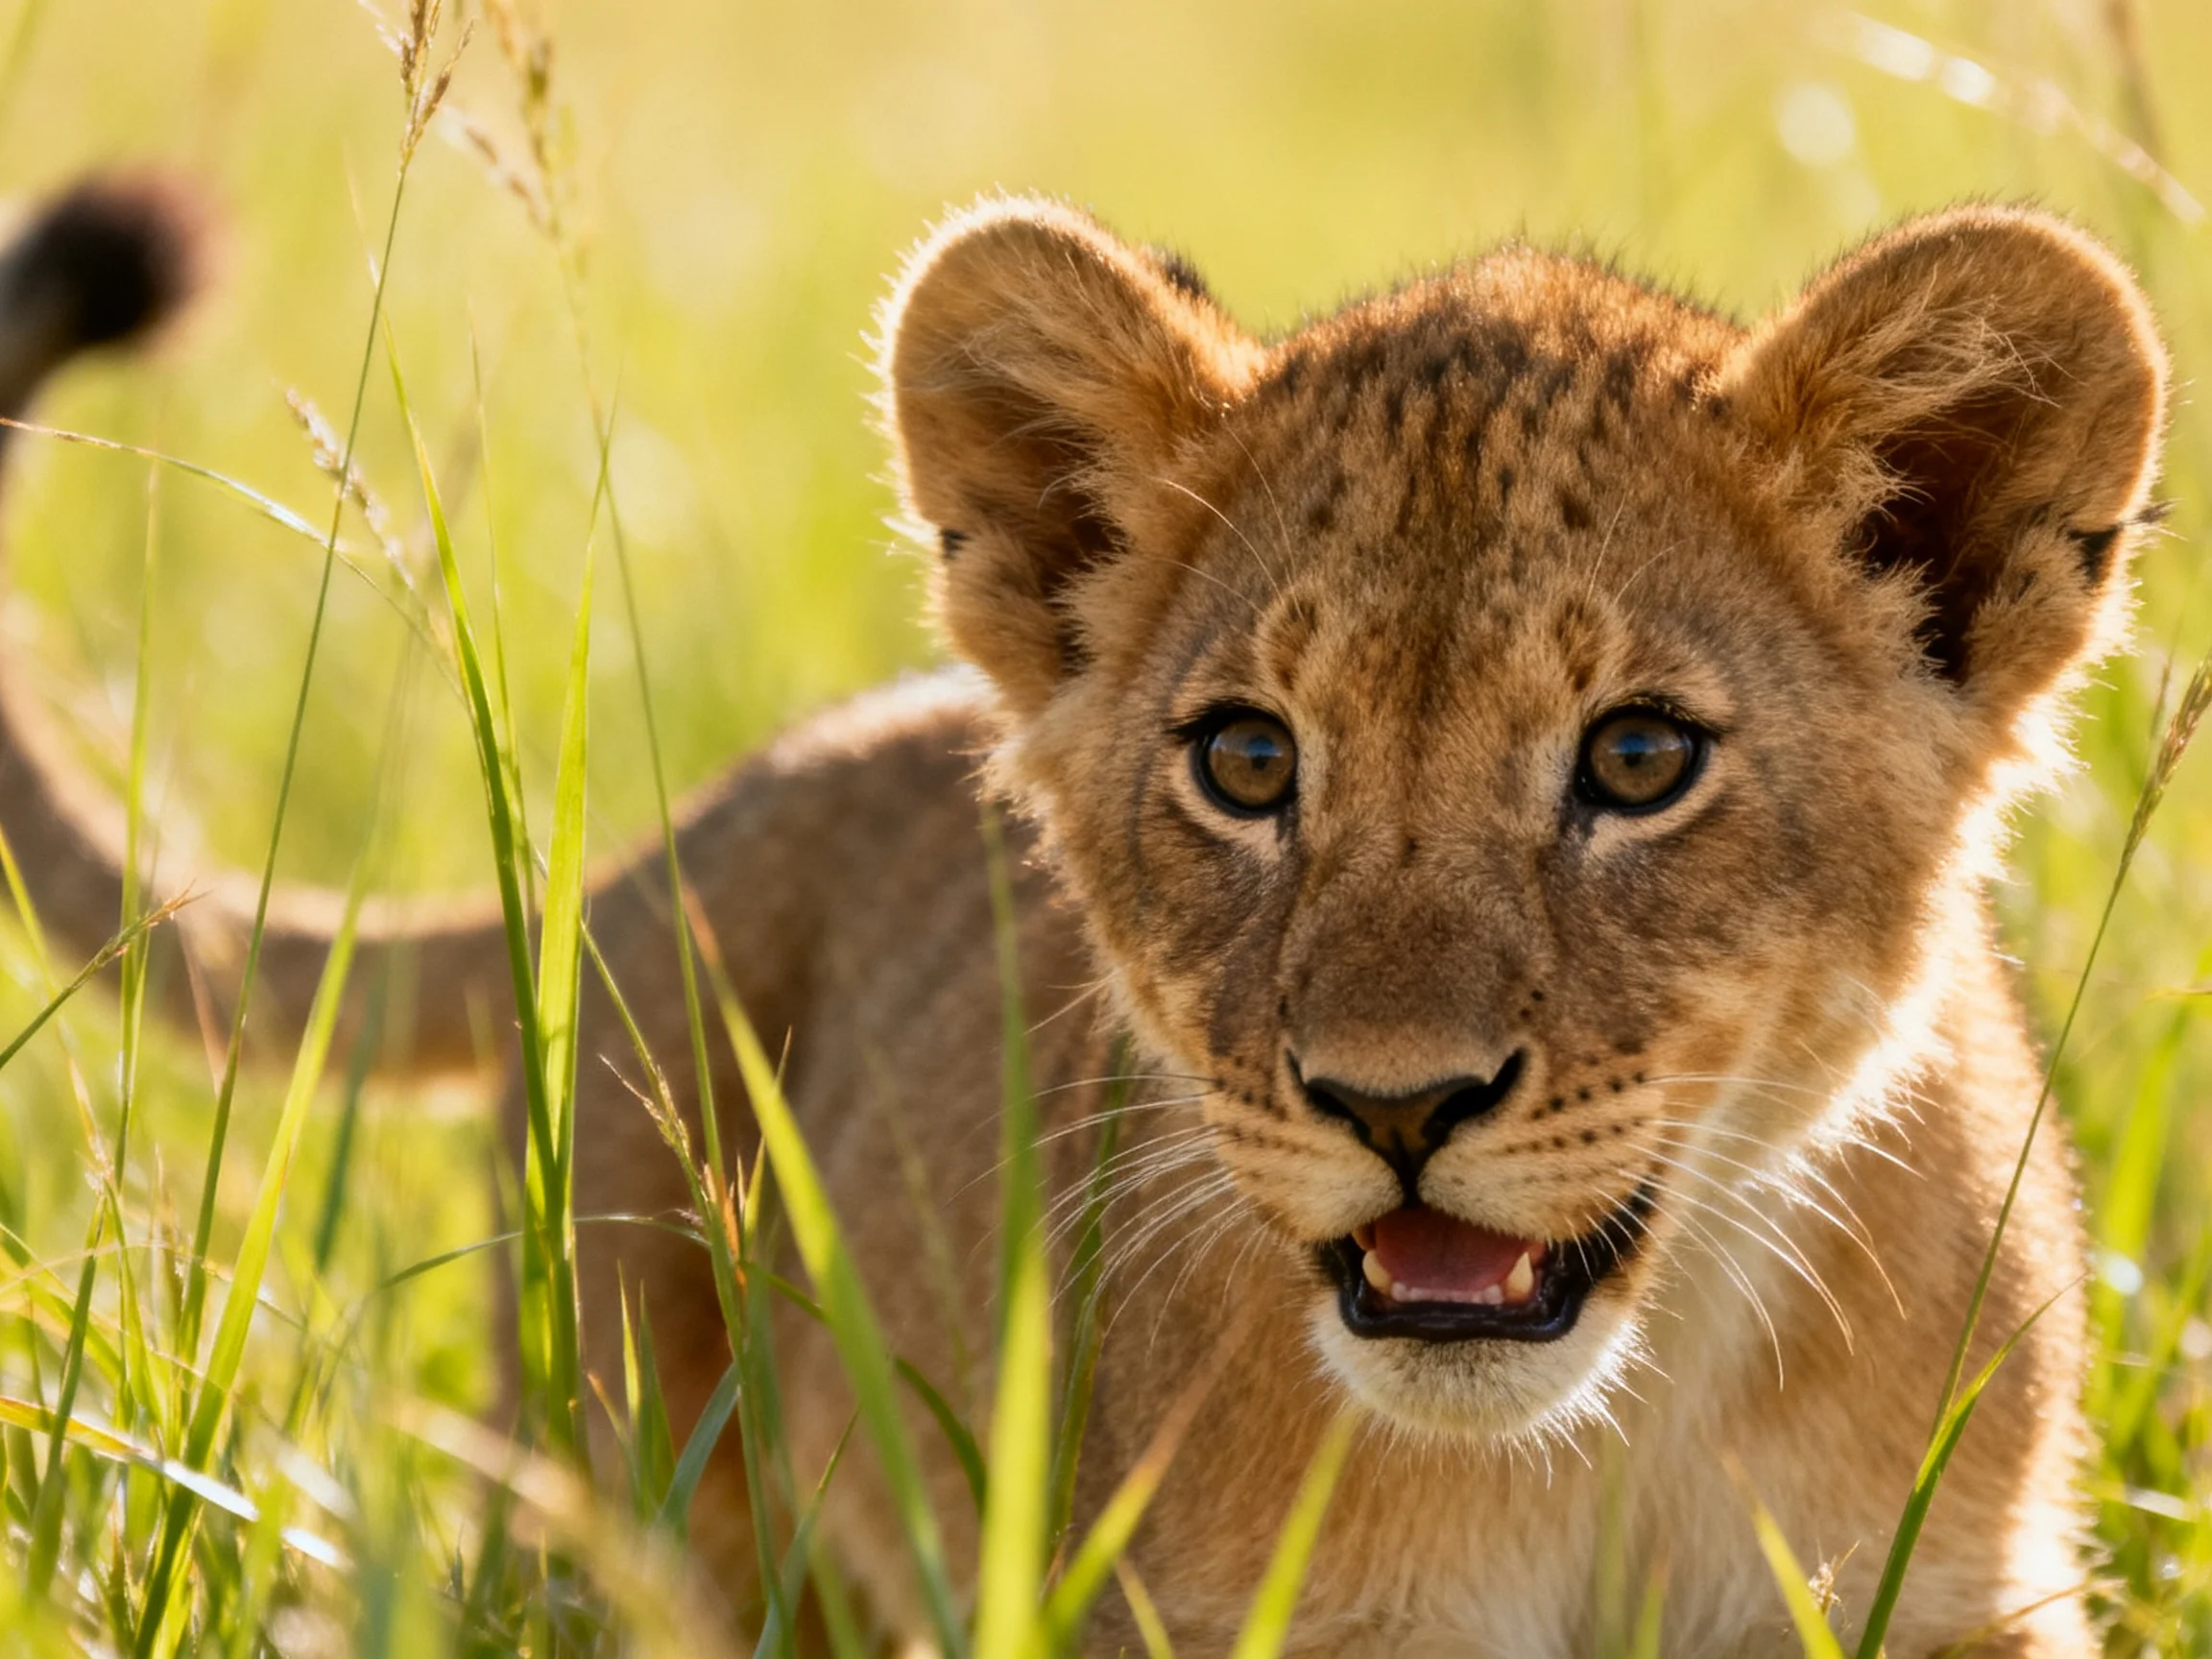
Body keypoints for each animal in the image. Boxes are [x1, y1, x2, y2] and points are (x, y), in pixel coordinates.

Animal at [0, 176, 2167, 1655]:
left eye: (1637, 759)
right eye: (1247, 760)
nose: (1394, 1107)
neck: (1613, 1426)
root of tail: (675, 837)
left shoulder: (1959, 1590)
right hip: (643, 1498)